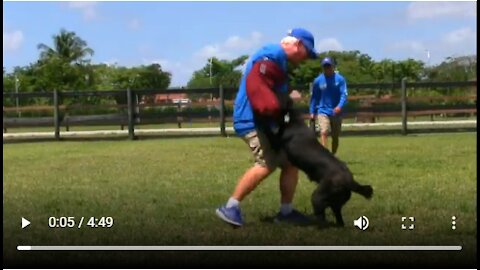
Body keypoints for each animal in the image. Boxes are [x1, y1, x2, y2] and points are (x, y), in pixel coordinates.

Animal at [260, 96, 374, 227]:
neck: (293, 121)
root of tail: (350, 182)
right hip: (336, 203)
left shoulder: (276, 141)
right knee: (338, 219)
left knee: (321, 217)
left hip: (318, 196)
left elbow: (268, 130)